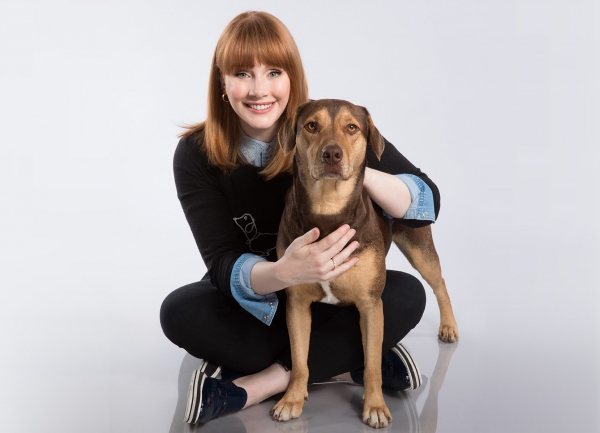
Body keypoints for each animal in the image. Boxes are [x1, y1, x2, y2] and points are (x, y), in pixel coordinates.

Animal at [270, 99, 454, 426]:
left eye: (352, 127)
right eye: (311, 125)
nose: (331, 154)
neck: (328, 208)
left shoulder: (370, 305)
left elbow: (371, 363)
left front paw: (376, 406)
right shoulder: (297, 304)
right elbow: (300, 360)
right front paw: (292, 399)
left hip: (419, 246)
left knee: (439, 283)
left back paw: (448, 326)